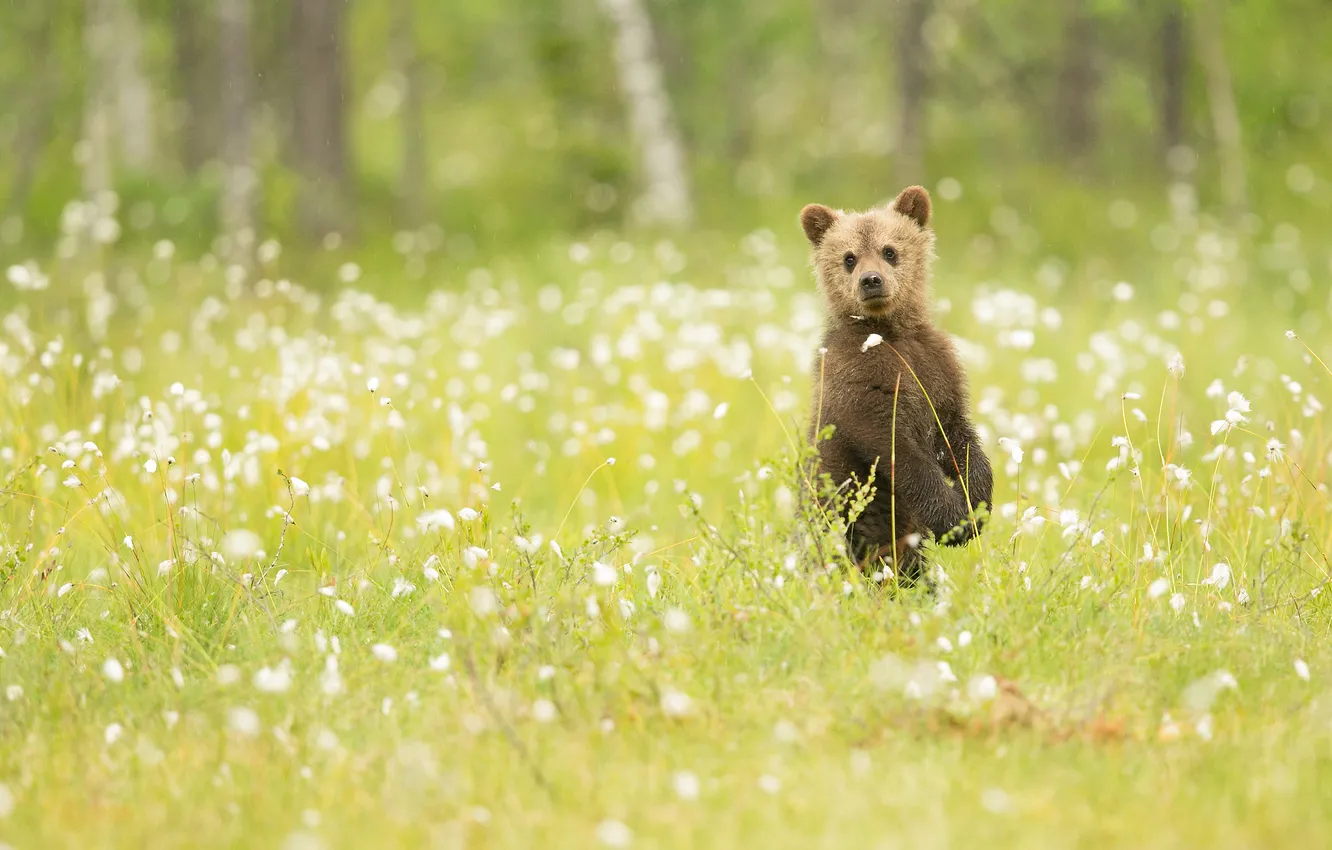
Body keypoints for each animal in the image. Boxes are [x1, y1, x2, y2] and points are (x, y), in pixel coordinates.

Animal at [799, 185, 992, 585]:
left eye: (889, 250)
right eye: (849, 258)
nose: (871, 280)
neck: (889, 331)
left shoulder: (936, 368)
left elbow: (956, 433)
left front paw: (977, 502)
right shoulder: (858, 377)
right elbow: (893, 446)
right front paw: (953, 519)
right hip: (843, 522)